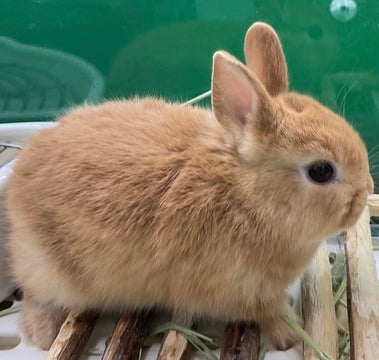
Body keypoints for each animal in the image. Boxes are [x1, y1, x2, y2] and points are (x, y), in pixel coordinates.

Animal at [5, 21, 374, 350]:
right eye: (321, 171)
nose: (367, 189)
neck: (247, 197)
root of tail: (17, 183)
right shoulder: (240, 292)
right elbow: (268, 313)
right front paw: (289, 336)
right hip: (54, 275)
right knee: (37, 296)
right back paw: (44, 335)